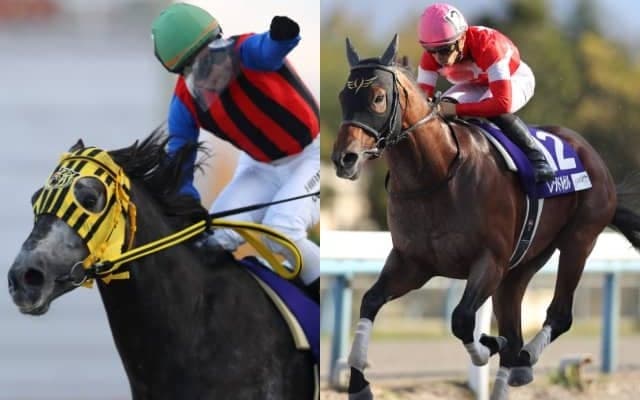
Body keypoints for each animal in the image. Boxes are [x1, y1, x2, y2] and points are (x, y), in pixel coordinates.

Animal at [331, 34, 640, 400]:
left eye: (378, 97)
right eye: (343, 96)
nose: (345, 159)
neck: (436, 175)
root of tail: (593, 156)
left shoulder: (489, 261)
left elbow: (462, 319)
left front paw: (488, 345)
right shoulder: (413, 262)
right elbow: (370, 301)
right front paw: (358, 382)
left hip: (579, 240)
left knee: (559, 316)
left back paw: (525, 358)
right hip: (521, 266)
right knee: (515, 328)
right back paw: (516, 365)